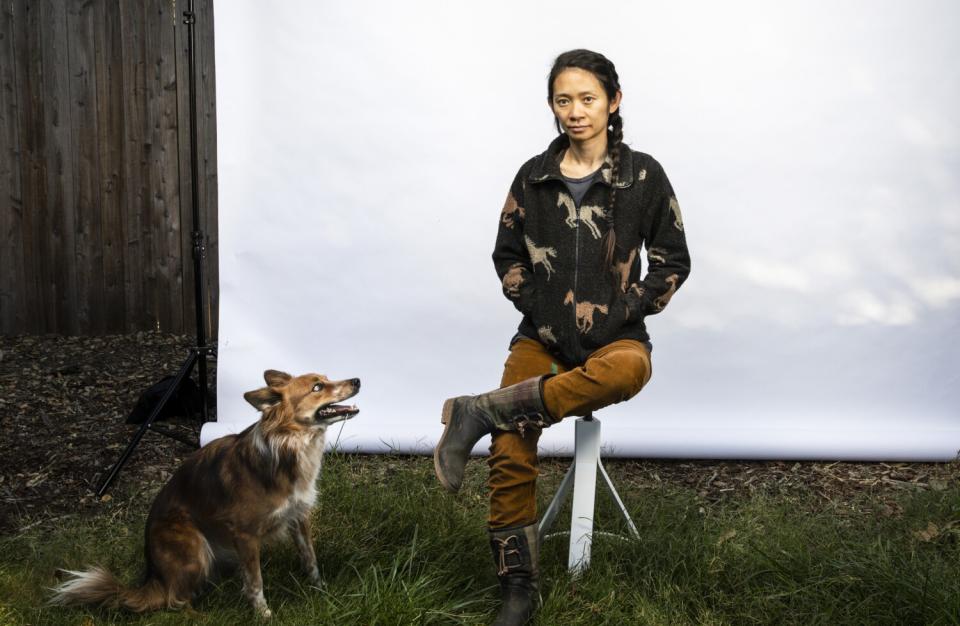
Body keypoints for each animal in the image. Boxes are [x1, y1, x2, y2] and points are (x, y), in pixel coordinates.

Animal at [51, 368, 360, 616]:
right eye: (317, 387)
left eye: (327, 378)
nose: (357, 380)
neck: (289, 445)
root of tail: (154, 575)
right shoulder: (244, 534)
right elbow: (255, 581)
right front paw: (263, 614)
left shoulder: (298, 516)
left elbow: (310, 558)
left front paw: (321, 590)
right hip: (194, 546)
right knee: (173, 600)